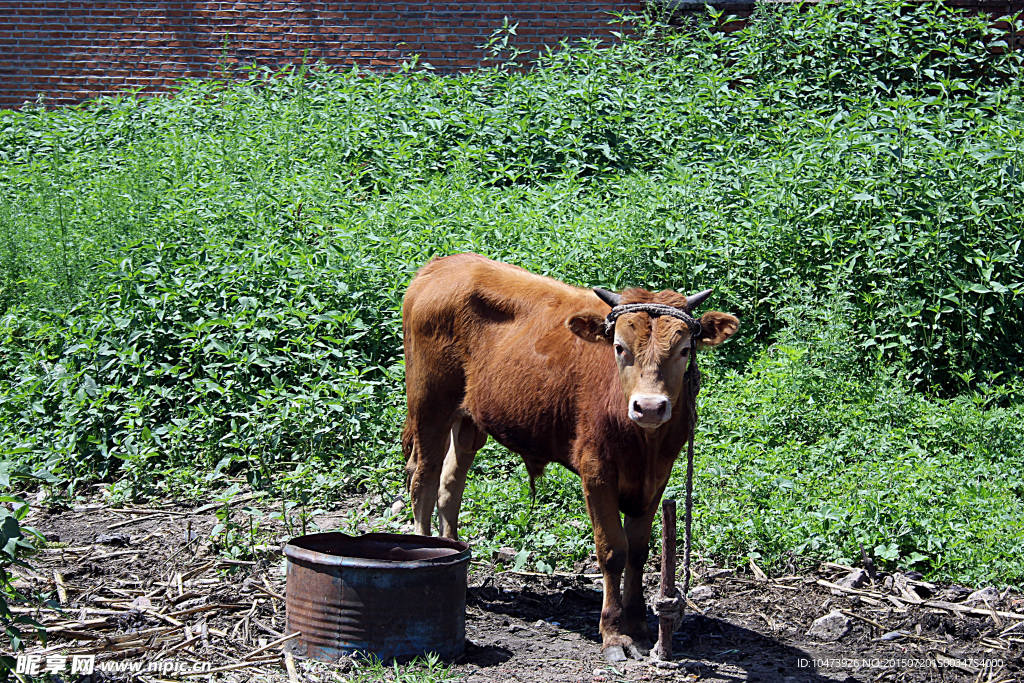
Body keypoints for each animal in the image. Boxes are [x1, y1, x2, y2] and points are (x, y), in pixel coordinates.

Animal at [399, 252, 737, 663]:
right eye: (619, 347)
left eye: (684, 349)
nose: (650, 407)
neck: (644, 443)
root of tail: (444, 264)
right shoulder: (597, 471)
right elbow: (613, 550)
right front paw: (613, 633)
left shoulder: (658, 477)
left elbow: (639, 551)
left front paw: (640, 627)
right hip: (429, 406)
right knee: (424, 481)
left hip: (468, 419)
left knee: (450, 484)